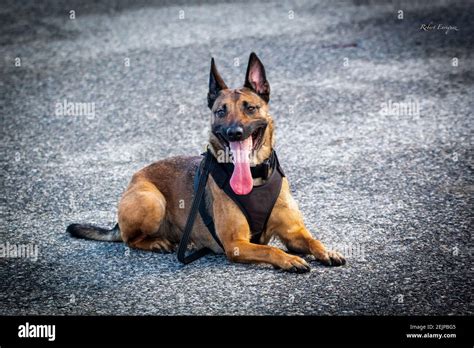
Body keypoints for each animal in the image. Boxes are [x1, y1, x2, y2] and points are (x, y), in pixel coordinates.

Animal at [68, 53, 344, 274]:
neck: (255, 178)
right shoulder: (236, 244)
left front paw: (327, 251)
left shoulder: (293, 232)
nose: (234, 132)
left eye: (251, 108)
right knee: (129, 239)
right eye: (221, 111)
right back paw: (156, 242)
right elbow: (271, 250)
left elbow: (313, 240)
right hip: (152, 201)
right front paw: (289, 259)